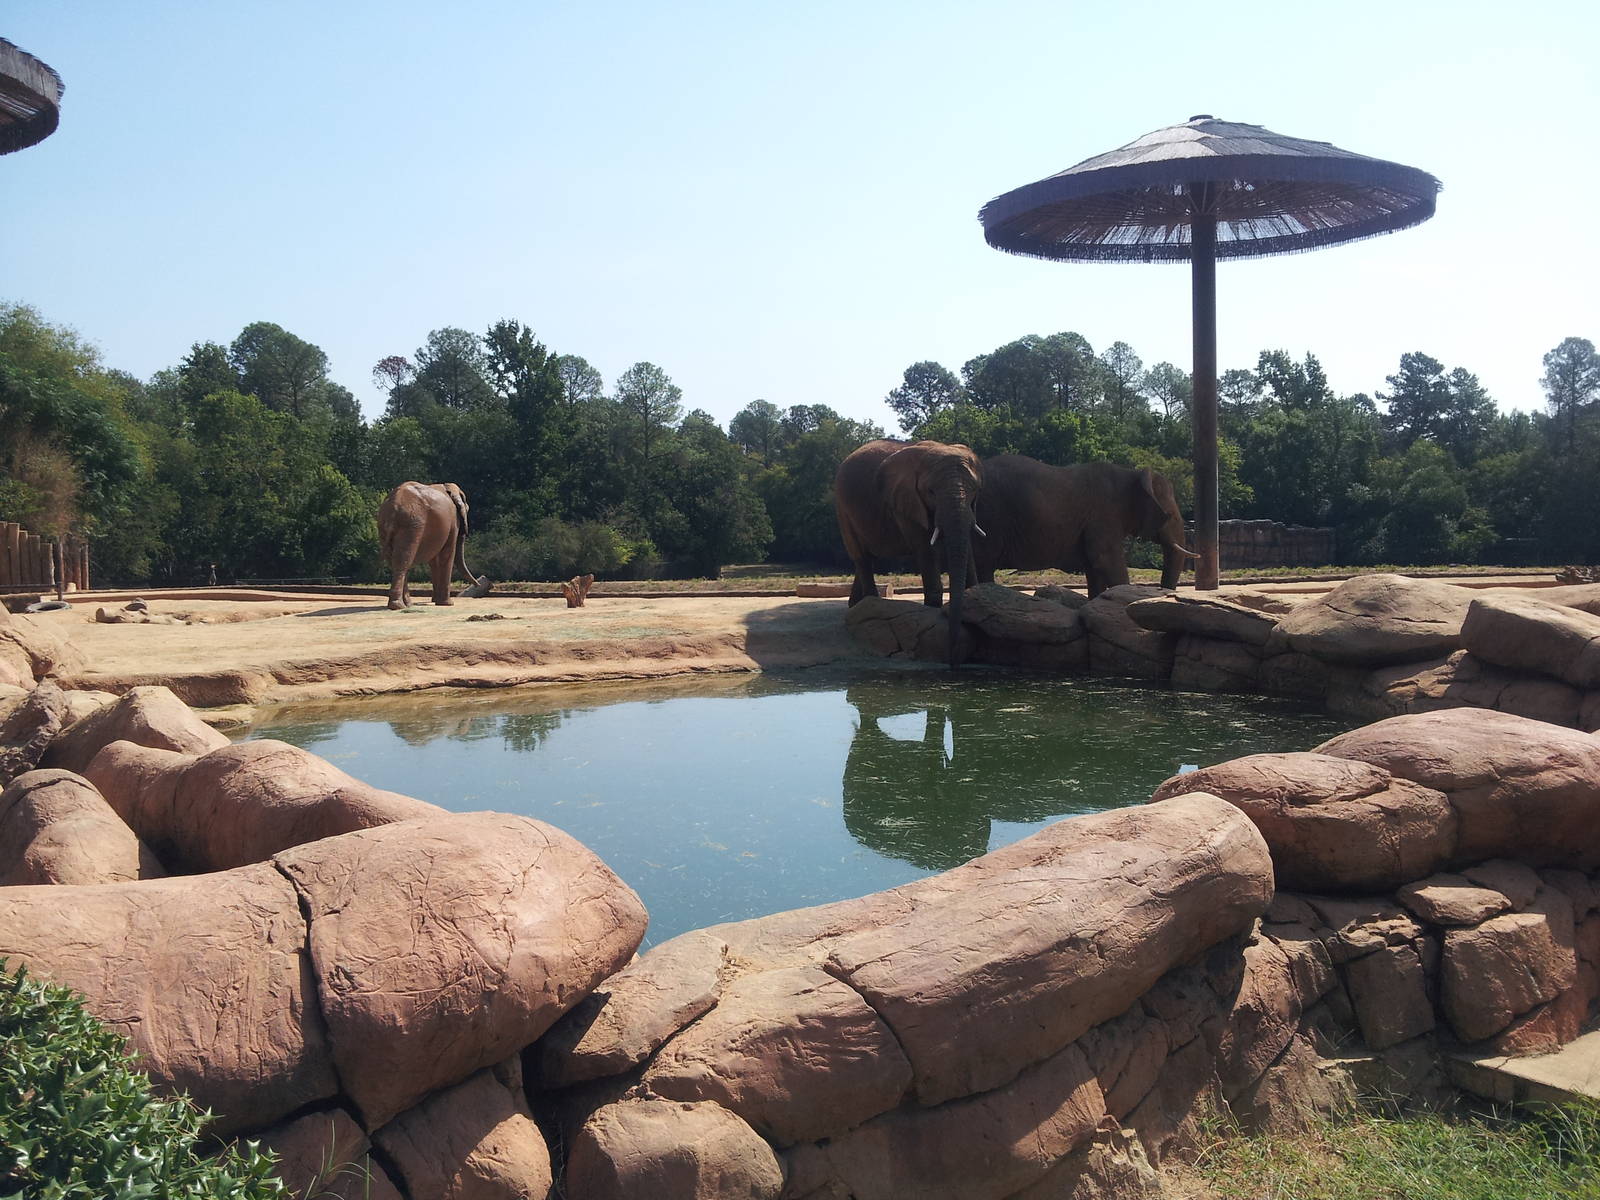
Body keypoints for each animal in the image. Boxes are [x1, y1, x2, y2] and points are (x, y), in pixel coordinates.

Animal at [376, 481, 489, 610]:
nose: (479, 584)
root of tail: (393, 507)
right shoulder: (453, 521)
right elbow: (448, 553)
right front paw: (448, 604)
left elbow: (434, 560)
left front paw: (436, 601)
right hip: (412, 525)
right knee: (403, 560)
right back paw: (398, 606)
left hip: (385, 526)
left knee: (395, 561)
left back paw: (407, 604)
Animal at [833, 439, 984, 667]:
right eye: (931, 492)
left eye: (974, 490)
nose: (953, 664)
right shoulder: (907, 503)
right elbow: (925, 549)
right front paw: (932, 611)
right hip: (843, 509)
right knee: (862, 557)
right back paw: (868, 606)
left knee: (867, 558)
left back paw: (855, 608)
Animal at [971, 456, 1197, 596]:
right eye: (1169, 515)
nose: (1162, 592)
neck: (1131, 474)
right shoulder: (1104, 514)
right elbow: (1106, 560)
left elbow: (1095, 569)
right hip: (990, 517)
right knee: (984, 565)